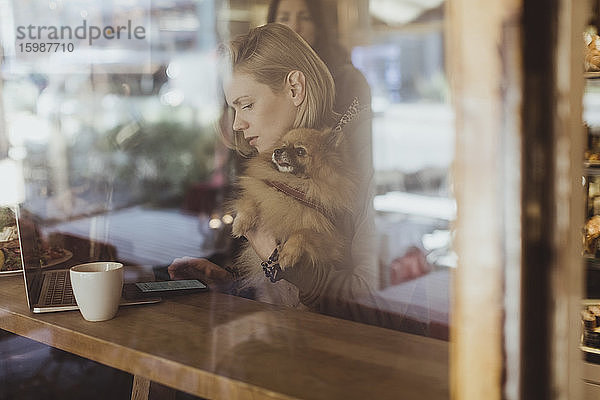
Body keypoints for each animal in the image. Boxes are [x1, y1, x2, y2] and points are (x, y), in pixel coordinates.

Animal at [231, 128, 356, 306]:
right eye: (282, 145)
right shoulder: (260, 193)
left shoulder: (332, 242)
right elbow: (249, 200)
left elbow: (302, 233)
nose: (277, 151)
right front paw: (240, 223)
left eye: (300, 151)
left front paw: (288, 254)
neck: (294, 186)